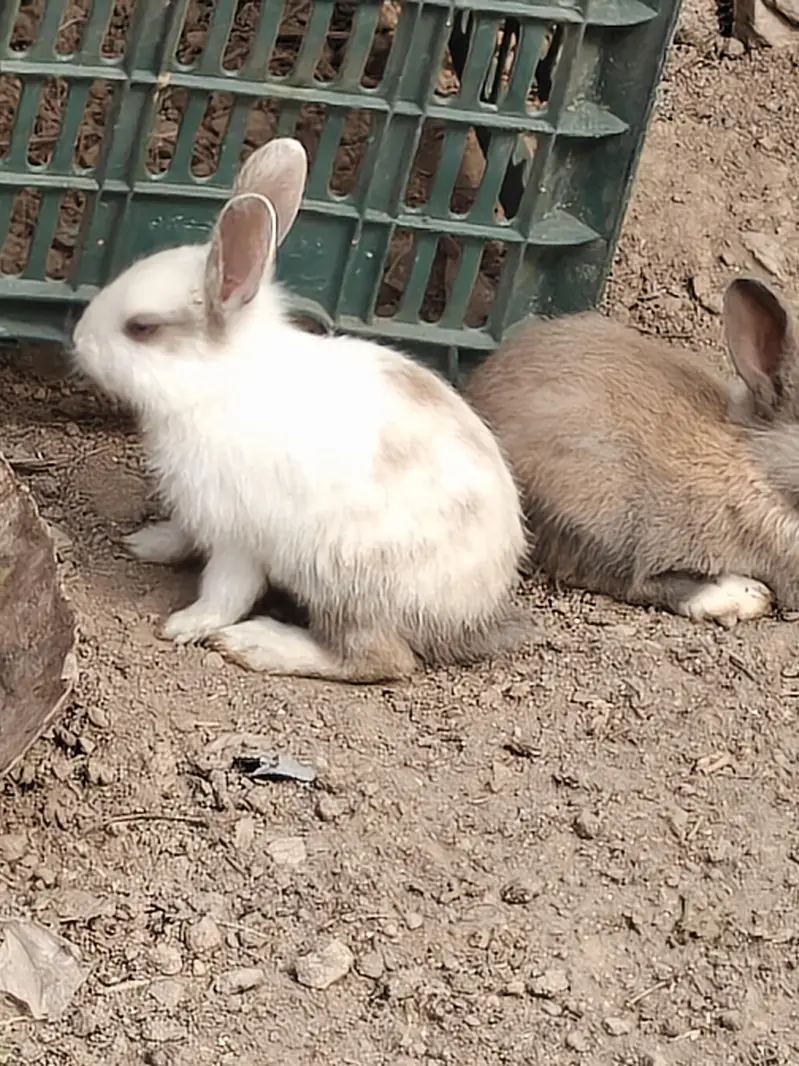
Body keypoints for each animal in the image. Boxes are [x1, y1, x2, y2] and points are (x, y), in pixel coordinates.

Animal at [70, 138, 529, 682]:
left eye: (141, 328)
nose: (77, 340)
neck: (218, 382)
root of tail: (478, 607)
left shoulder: (239, 535)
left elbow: (226, 592)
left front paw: (186, 625)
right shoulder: (200, 512)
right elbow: (183, 535)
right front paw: (147, 543)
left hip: (346, 584)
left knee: (381, 660)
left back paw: (258, 644)